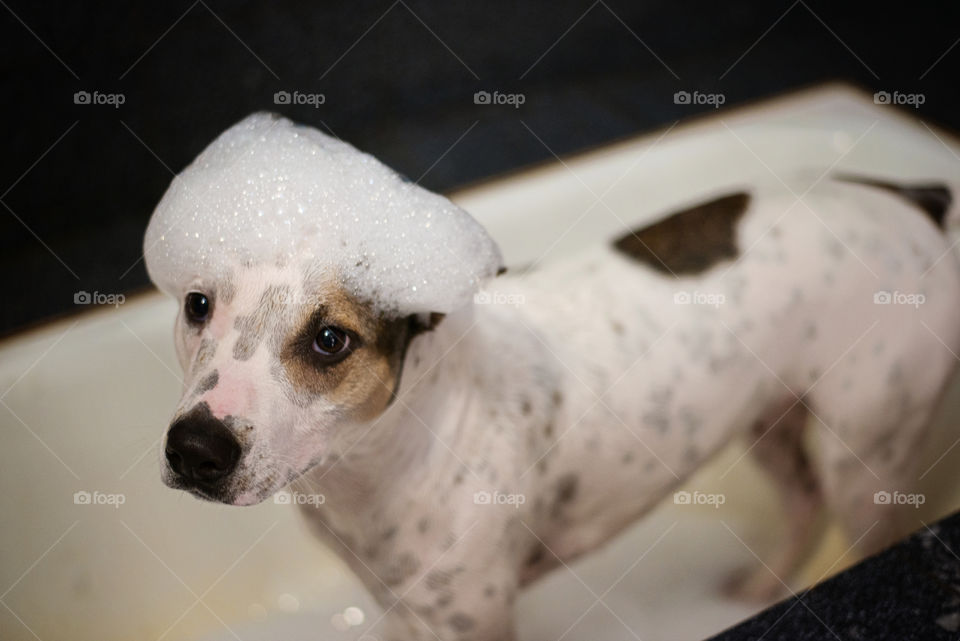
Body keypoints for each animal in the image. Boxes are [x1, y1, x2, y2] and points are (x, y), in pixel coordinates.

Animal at [146, 111, 960, 640]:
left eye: (328, 340)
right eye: (197, 304)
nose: (195, 449)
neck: (388, 461)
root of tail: (913, 198)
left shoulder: (472, 623)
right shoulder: (399, 611)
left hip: (867, 457)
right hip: (772, 419)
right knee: (801, 505)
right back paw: (755, 593)